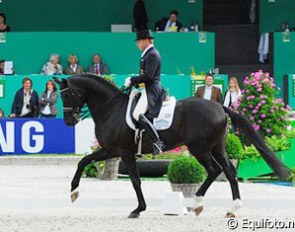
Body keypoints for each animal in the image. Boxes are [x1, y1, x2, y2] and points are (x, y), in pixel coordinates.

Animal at [54, 75, 290, 218]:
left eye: (69, 94)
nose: (69, 121)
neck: (111, 108)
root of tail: (220, 107)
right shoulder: (110, 151)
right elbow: (83, 161)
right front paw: (73, 191)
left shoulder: (124, 152)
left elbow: (135, 180)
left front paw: (138, 209)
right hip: (216, 147)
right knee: (228, 171)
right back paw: (227, 208)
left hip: (199, 148)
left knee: (215, 170)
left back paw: (199, 203)